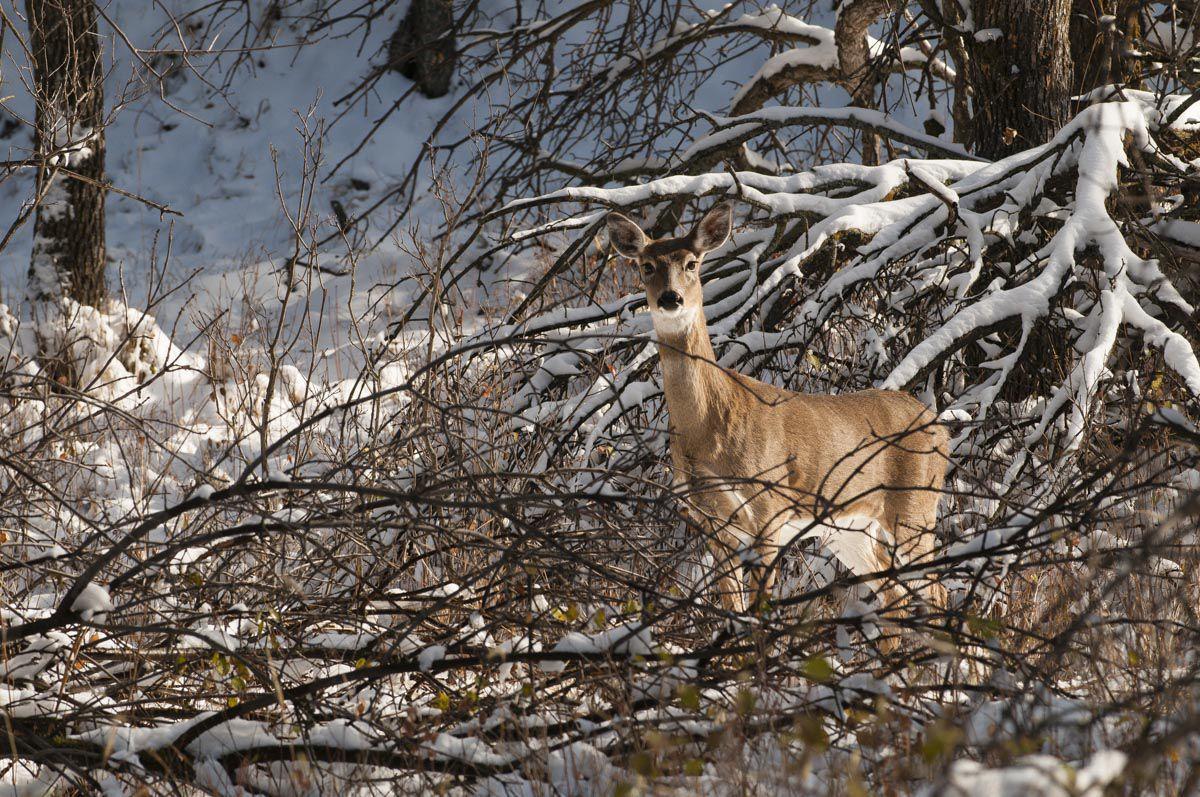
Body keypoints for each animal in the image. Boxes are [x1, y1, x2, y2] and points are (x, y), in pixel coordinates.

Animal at [604, 200, 950, 614]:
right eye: (646, 265)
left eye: (691, 263)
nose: (671, 298)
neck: (707, 430)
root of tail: (940, 426)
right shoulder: (712, 522)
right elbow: (733, 610)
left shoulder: (769, 507)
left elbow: (758, 610)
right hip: (849, 527)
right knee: (893, 592)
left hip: (915, 505)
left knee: (938, 590)